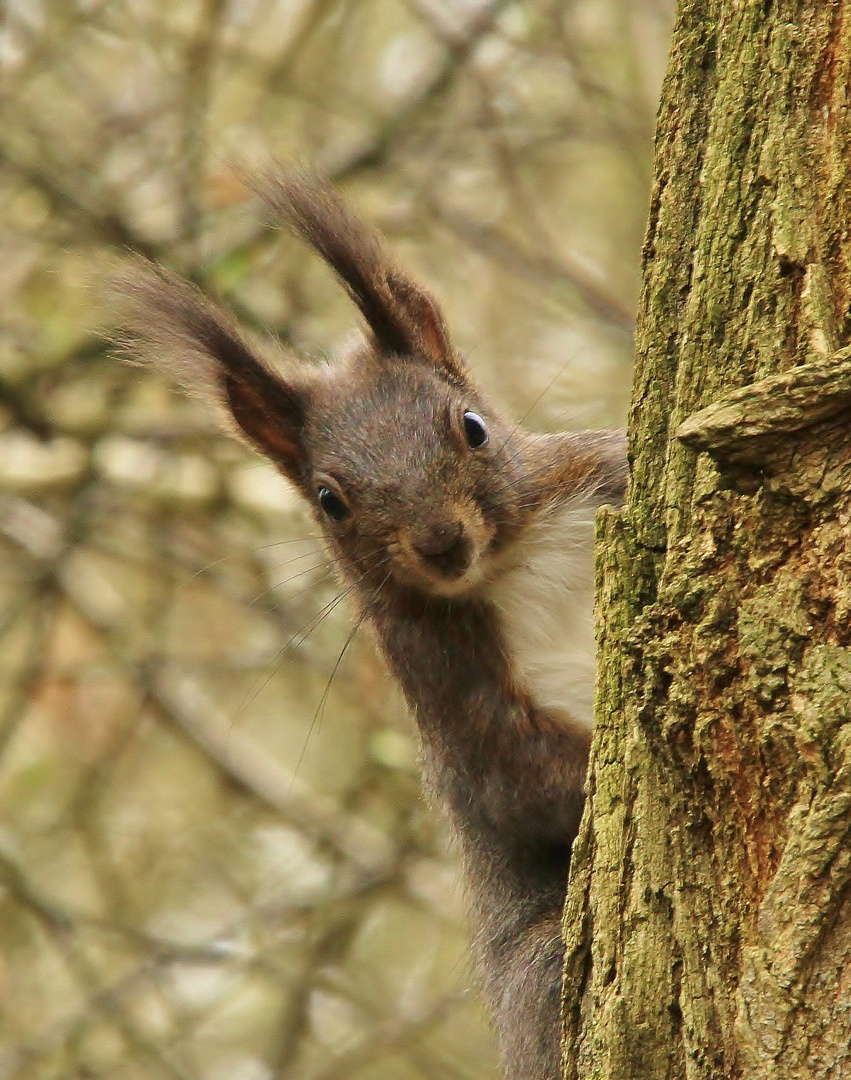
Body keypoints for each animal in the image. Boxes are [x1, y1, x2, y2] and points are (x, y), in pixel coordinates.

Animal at [111, 172, 626, 1080]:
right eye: (329, 499)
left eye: (470, 426)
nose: (441, 542)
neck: (509, 562)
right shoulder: (445, 677)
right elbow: (521, 782)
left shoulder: (593, 472)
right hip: (538, 969)